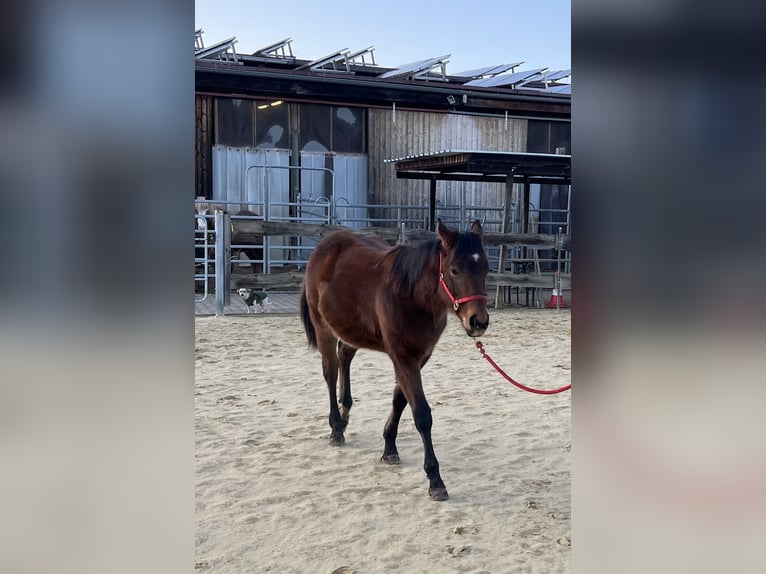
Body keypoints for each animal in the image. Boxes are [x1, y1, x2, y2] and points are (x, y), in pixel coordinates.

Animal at [302, 218, 492, 502]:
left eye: (486, 269)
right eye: (454, 270)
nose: (478, 322)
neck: (412, 296)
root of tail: (323, 247)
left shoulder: (418, 358)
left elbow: (399, 399)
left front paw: (389, 447)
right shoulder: (403, 358)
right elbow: (422, 414)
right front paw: (435, 480)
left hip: (351, 329)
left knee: (344, 356)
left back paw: (345, 414)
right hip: (323, 328)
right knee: (330, 372)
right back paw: (336, 427)